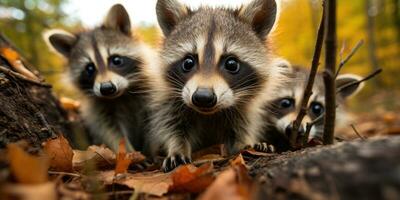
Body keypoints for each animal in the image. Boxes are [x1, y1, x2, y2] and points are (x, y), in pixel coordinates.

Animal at [43, 4, 156, 152]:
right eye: (90, 68)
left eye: (116, 60)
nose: (107, 88)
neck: (122, 96)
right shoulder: (99, 111)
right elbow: (110, 132)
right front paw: (128, 152)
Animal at [148, 0, 290, 172]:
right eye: (188, 62)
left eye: (231, 64)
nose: (203, 97)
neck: (209, 114)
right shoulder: (170, 103)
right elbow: (172, 126)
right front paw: (176, 147)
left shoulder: (243, 112)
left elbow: (240, 131)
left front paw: (246, 144)